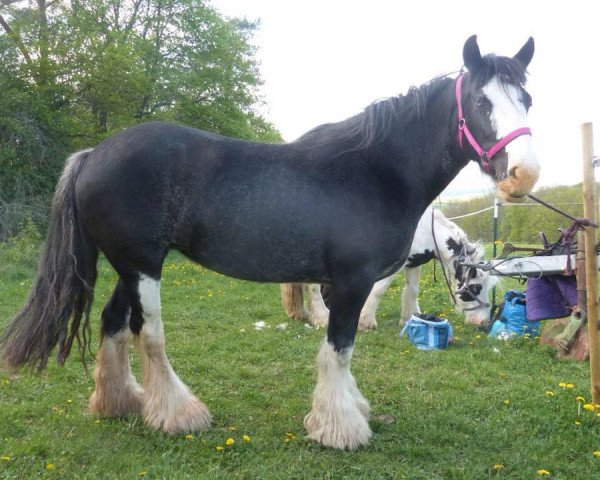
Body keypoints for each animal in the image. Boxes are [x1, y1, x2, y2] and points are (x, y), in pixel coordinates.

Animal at [282, 206, 496, 330]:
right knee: (312, 287)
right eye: (476, 287)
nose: (483, 322)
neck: (423, 229)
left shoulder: (414, 263)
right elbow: (378, 290)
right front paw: (365, 322)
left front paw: (410, 317)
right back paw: (321, 318)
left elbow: (412, 291)